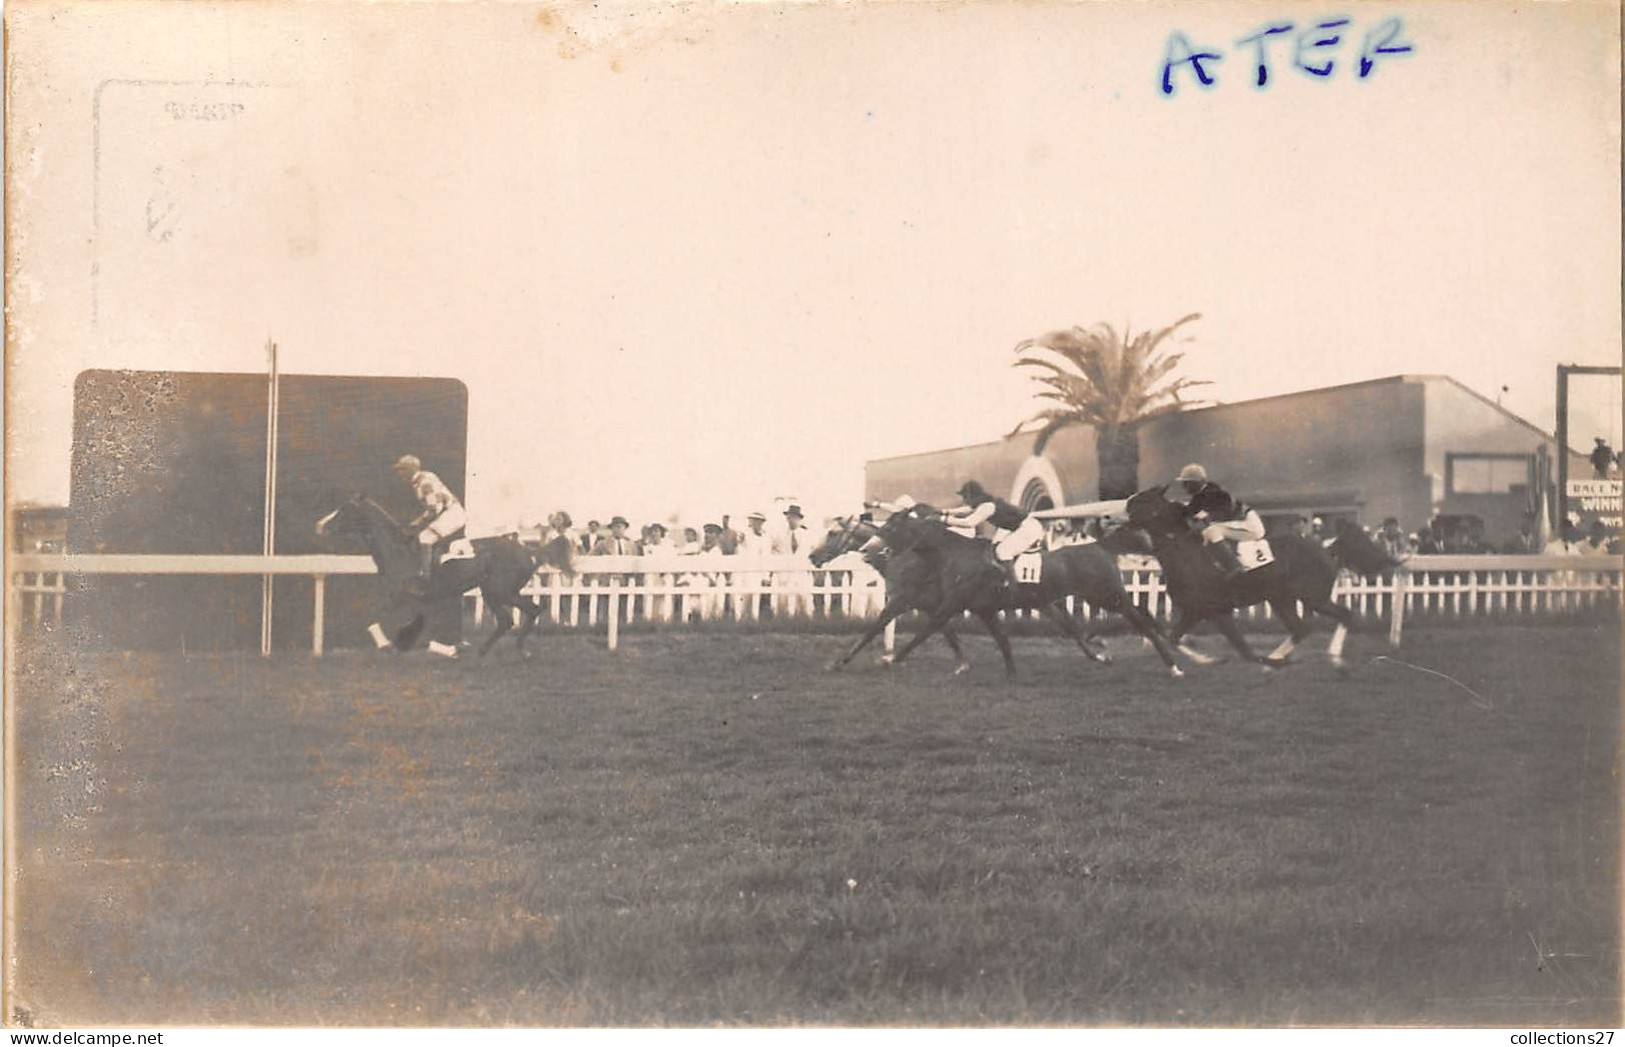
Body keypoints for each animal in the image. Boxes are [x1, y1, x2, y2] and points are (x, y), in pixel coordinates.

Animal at [313, 497, 575, 660]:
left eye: (343, 510)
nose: (320, 526)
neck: (398, 549)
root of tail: (529, 551)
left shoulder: (402, 595)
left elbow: (374, 618)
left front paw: (386, 644)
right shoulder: (422, 599)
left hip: (498, 591)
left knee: (517, 616)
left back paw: (506, 650)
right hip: (500, 591)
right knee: (521, 614)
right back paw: (504, 649)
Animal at [806, 516, 968, 679]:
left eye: (832, 533)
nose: (812, 556)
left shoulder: (898, 603)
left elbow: (872, 631)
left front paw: (838, 663)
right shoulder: (931, 607)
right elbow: (949, 635)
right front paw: (962, 666)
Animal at [877, 503, 1183, 679]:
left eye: (890, 527)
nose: (878, 551)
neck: (955, 553)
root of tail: (1100, 544)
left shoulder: (951, 605)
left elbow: (923, 632)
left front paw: (892, 658)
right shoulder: (984, 609)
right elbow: (1002, 640)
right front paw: (1012, 673)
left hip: (1106, 595)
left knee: (1140, 618)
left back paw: (1173, 665)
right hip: (1092, 597)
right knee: (1130, 616)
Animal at [1118, 484, 1397, 669]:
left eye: (1139, 501)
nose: (1115, 516)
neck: (1186, 554)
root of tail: (1326, 548)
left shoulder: (1218, 612)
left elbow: (1244, 649)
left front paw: (1245, 660)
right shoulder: (1194, 611)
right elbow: (1173, 637)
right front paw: (1208, 659)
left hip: (1313, 597)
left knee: (1344, 615)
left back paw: (1331, 655)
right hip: (1281, 598)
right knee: (1301, 628)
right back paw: (1278, 656)